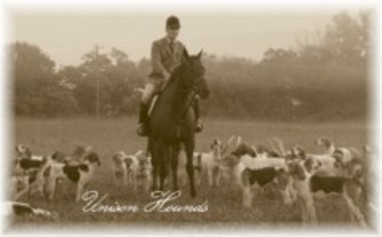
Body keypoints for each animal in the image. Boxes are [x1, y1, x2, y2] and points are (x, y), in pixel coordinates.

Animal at [148, 48, 209, 198]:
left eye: (203, 69)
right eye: (191, 70)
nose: (206, 91)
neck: (177, 109)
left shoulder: (188, 140)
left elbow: (189, 167)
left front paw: (193, 193)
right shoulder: (163, 141)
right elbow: (163, 169)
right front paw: (160, 191)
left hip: (175, 143)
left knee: (173, 164)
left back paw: (175, 189)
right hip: (155, 140)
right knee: (156, 163)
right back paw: (155, 189)